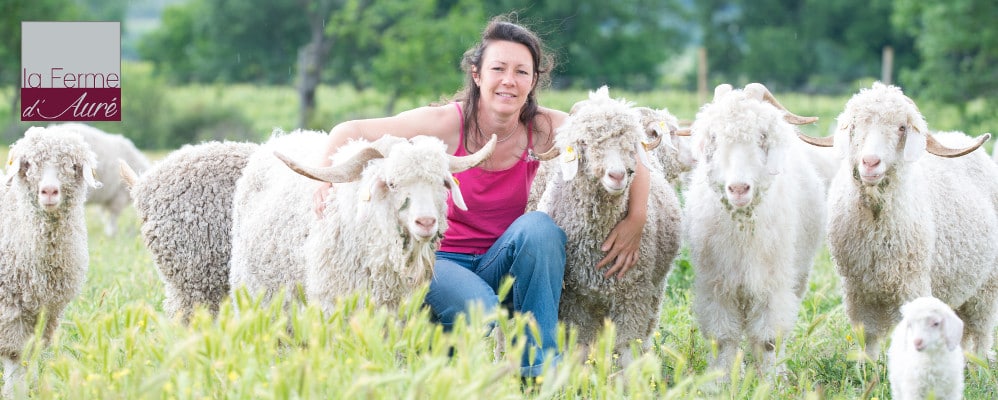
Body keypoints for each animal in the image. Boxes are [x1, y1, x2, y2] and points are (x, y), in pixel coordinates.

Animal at [1, 126, 100, 398]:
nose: (49, 191)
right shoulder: (9, 306)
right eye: (28, 164)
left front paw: (33, 387)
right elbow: (15, 354)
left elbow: (31, 351)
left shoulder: (48, 308)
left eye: (73, 165)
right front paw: (14, 392)